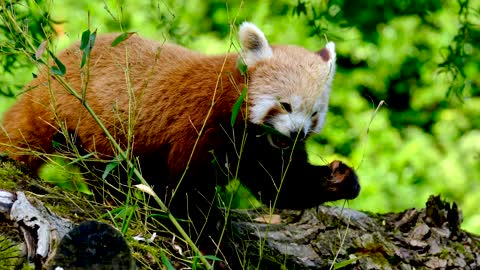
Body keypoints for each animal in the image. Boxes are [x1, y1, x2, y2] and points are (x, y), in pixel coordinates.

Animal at [0, 22, 360, 220]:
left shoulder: (260, 148)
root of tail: (48, 74)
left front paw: (340, 179)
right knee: (106, 171)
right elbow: (188, 189)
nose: (297, 133)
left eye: (314, 115)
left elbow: (281, 185)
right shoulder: (202, 124)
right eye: (285, 105)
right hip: (83, 121)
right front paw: (210, 238)